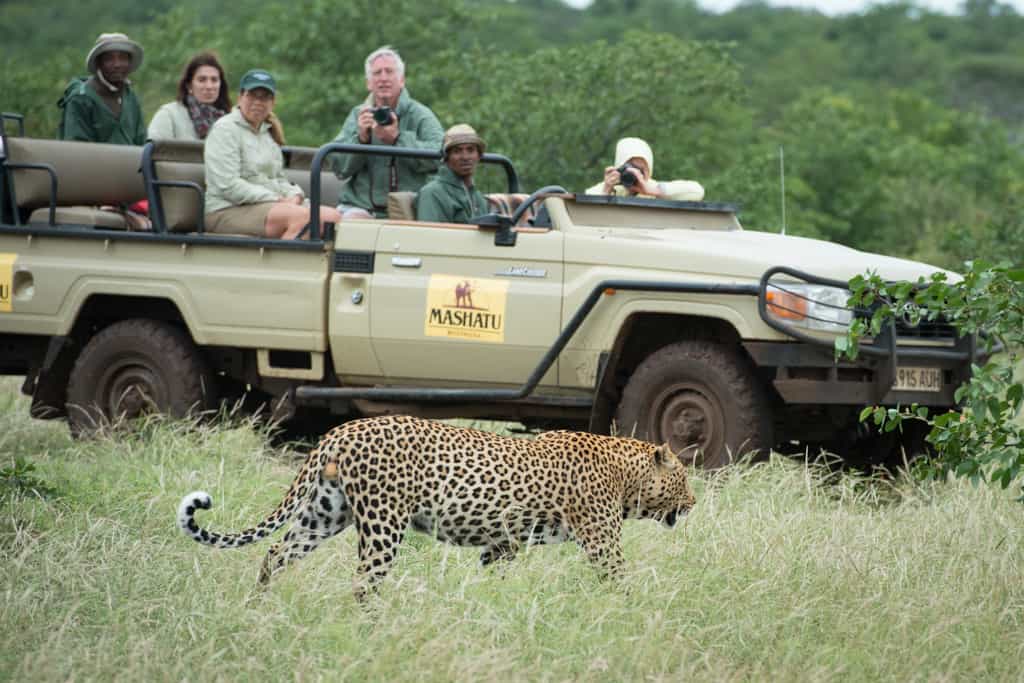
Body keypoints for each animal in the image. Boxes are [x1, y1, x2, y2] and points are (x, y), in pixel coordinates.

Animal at [177, 415, 696, 600]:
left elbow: (493, 579)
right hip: (383, 523)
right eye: (685, 479)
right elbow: (622, 580)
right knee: (364, 581)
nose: (694, 502)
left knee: (274, 554)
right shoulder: (602, 541)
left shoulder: (501, 545)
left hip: (324, 513)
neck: (627, 473)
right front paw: (639, 612)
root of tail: (340, 430)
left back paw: (259, 606)